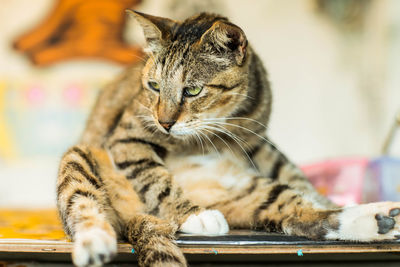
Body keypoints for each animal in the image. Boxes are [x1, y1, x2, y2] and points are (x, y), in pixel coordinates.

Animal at [56, 10, 400, 267]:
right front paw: (193, 214)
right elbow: (155, 178)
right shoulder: (128, 136)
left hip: (253, 193)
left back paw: (380, 218)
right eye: (153, 86)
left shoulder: (258, 140)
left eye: (193, 90)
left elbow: (293, 175)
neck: (222, 125)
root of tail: (136, 218)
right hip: (79, 159)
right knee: (82, 205)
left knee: (300, 213)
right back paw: (95, 244)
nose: (164, 123)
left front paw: (326, 196)